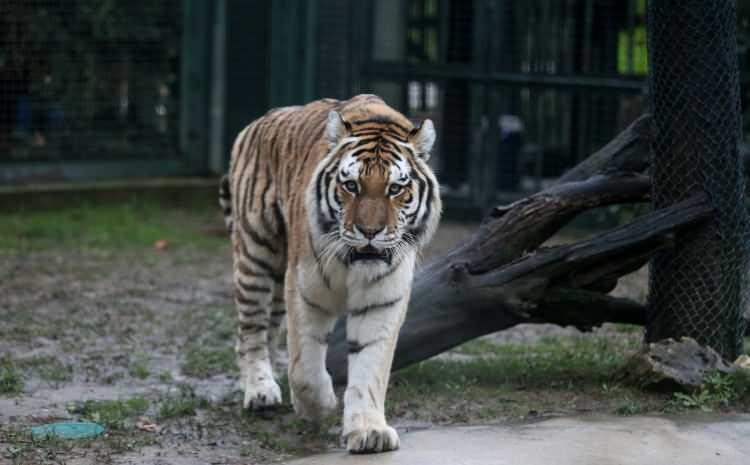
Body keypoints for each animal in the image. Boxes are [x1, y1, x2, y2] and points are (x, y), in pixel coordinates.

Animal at [219, 94, 440, 454]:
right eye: (351, 185)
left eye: (395, 189)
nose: (370, 232)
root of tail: (257, 122)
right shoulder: (304, 290)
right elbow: (304, 367)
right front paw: (318, 406)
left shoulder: (383, 300)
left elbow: (370, 365)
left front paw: (369, 431)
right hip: (256, 254)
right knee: (250, 330)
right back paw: (260, 391)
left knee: (268, 330)